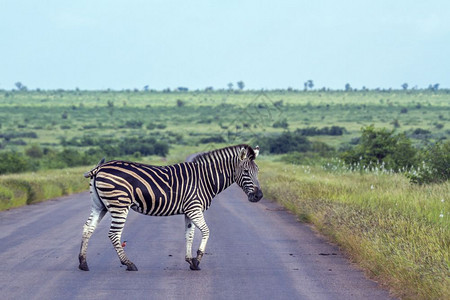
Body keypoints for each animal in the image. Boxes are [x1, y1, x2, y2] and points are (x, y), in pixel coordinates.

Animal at [77, 144, 260, 270]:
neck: (206, 179)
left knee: (87, 228)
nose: (259, 196)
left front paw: (190, 261)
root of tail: (100, 167)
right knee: (113, 234)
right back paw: (129, 264)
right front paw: (198, 259)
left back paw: (83, 263)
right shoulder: (195, 208)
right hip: (119, 204)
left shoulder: (189, 210)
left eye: (257, 171)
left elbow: (189, 235)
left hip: (99, 205)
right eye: (245, 172)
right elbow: (206, 231)